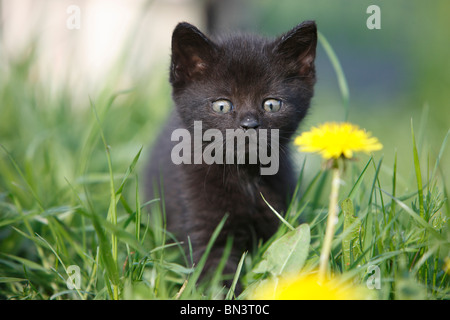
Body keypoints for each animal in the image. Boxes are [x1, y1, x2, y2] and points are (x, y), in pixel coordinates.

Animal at [144, 21, 316, 286]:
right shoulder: (203, 227)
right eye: (222, 105)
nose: (249, 124)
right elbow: (215, 273)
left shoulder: (278, 218)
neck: (244, 174)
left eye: (271, 104)